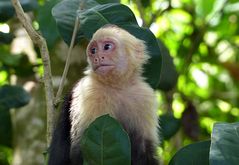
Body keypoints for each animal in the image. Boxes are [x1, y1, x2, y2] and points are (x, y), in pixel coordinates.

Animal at [48, 24, 160, 165]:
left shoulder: (145, 96)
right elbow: (79, 150)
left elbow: (145, 149)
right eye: (93, 50)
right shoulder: (89, 92)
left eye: (107, 47)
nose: (97, 57)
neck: (117, 87)